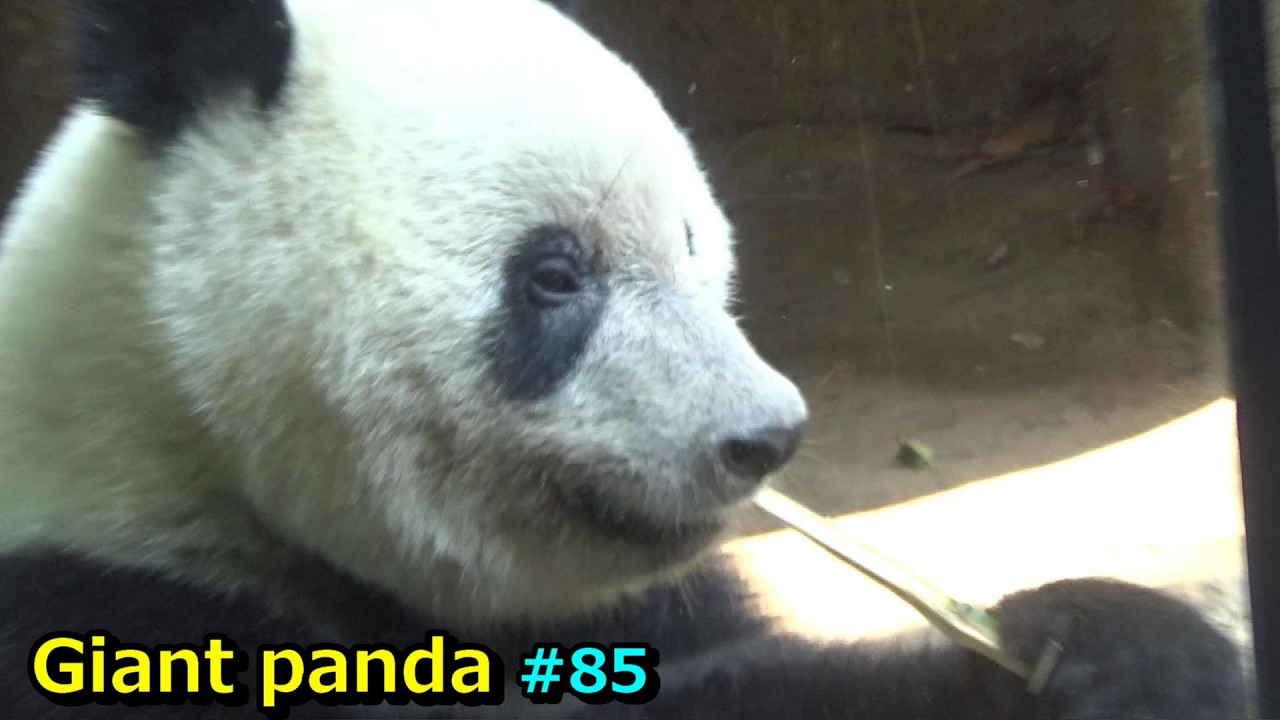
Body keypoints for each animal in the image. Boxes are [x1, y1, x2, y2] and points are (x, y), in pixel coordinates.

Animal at [0, 0, 1248, 717]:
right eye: (556, 275)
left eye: (696, 245)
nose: (764, 438)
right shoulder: (111, 618)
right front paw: (1049, 666)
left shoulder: (640, 603)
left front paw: (1132, 651)